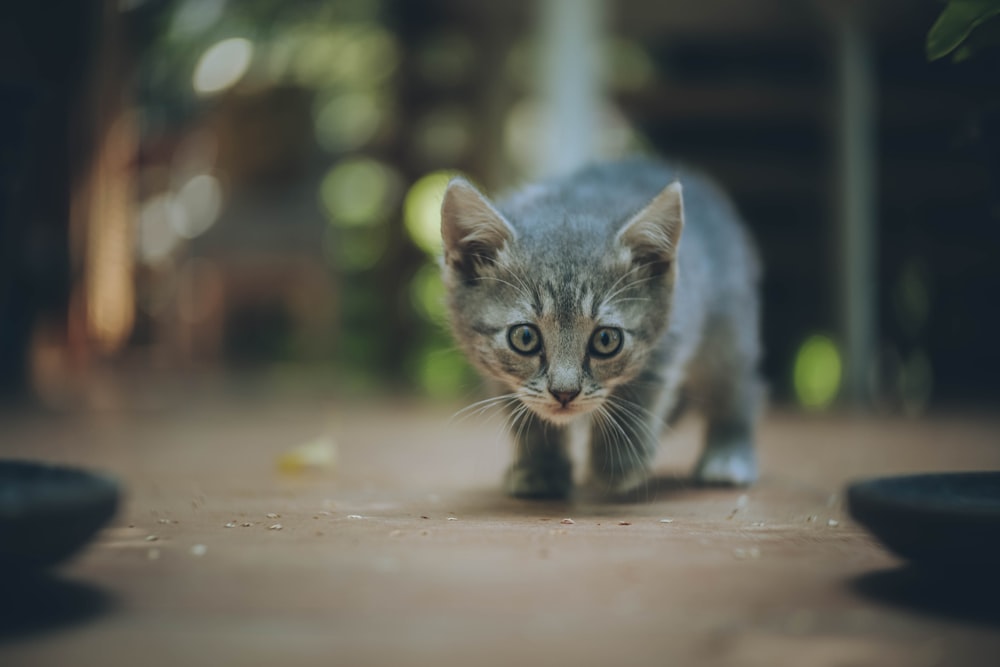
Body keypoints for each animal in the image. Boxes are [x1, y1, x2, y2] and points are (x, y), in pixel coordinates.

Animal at [442, 158, 760, 500]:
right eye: (524, 337)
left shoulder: (673, 333)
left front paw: (616, 463)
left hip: (728, 329)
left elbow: (639, 393)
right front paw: (540, 467)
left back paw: (728, 452)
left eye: (606, 340)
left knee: (738, 387)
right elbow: (525, 412)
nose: (564, 393)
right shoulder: (498, 373)